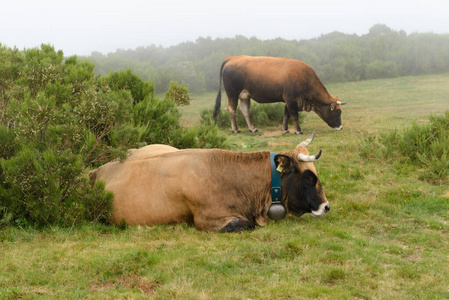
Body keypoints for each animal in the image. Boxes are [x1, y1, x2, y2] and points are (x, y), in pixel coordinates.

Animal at [212, 56, 344, 135]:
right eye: (338, 112)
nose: (340, 127)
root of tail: (233, 58)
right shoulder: (291, 100)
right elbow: (294, 116)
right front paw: (298, 131)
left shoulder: (288, 101)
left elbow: (286, 115)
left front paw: (285, 130)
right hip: (233, 94)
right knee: (231, 109)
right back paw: (235, 129)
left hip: (245, 95)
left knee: (245, 110)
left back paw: (253, 128)